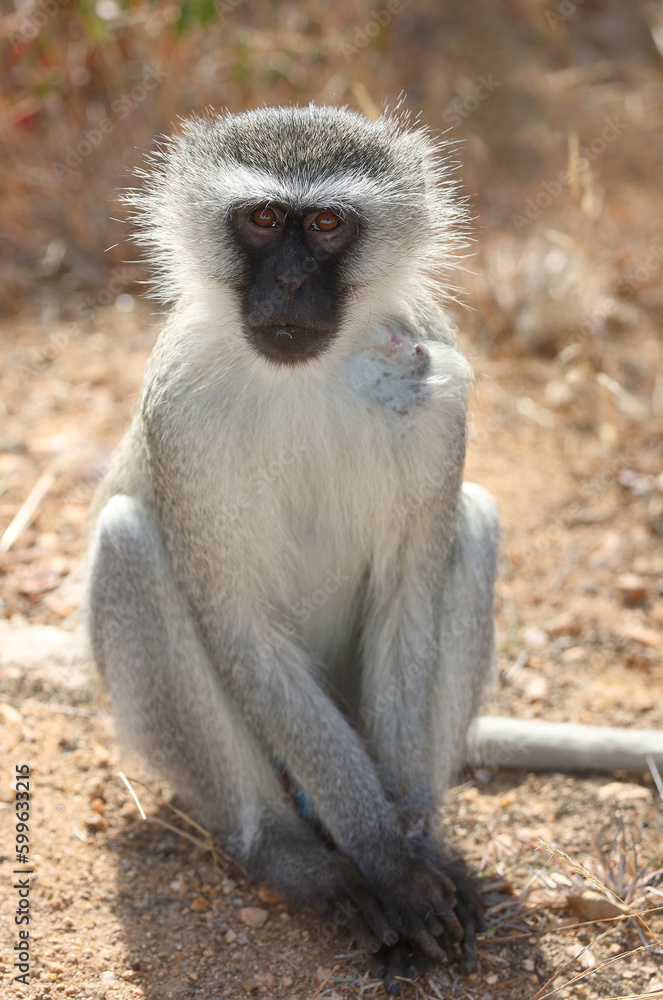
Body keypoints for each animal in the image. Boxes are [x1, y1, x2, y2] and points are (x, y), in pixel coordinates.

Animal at [88, 105, 500, 996]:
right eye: (264, 218)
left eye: (326, 224)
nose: (283, 286)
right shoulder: (179, 408)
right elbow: (241, 631)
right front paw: (383, 862)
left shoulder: (437, 372)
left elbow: (408, 598)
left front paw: (408, 849)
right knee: (130, 545)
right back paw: (291, 858)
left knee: (474, 524)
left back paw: (425, 835)